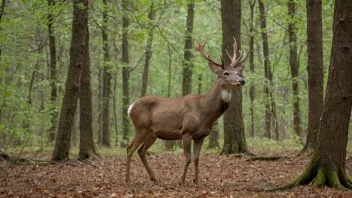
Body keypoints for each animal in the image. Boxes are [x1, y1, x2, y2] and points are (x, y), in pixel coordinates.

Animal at [126, 37, 248, 186]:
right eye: (226, 73)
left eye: (237, 72)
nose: (241, 81)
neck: (204, 112)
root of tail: (130, 107)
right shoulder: (186, 131)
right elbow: (188, 158)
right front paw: (182, 181)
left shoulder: (201, 135)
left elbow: (197, 158)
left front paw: (197, 181)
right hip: (141, 127)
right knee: (130, 149)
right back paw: (127, 179)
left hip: (152, 133)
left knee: (141, 151)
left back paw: (154, 179)